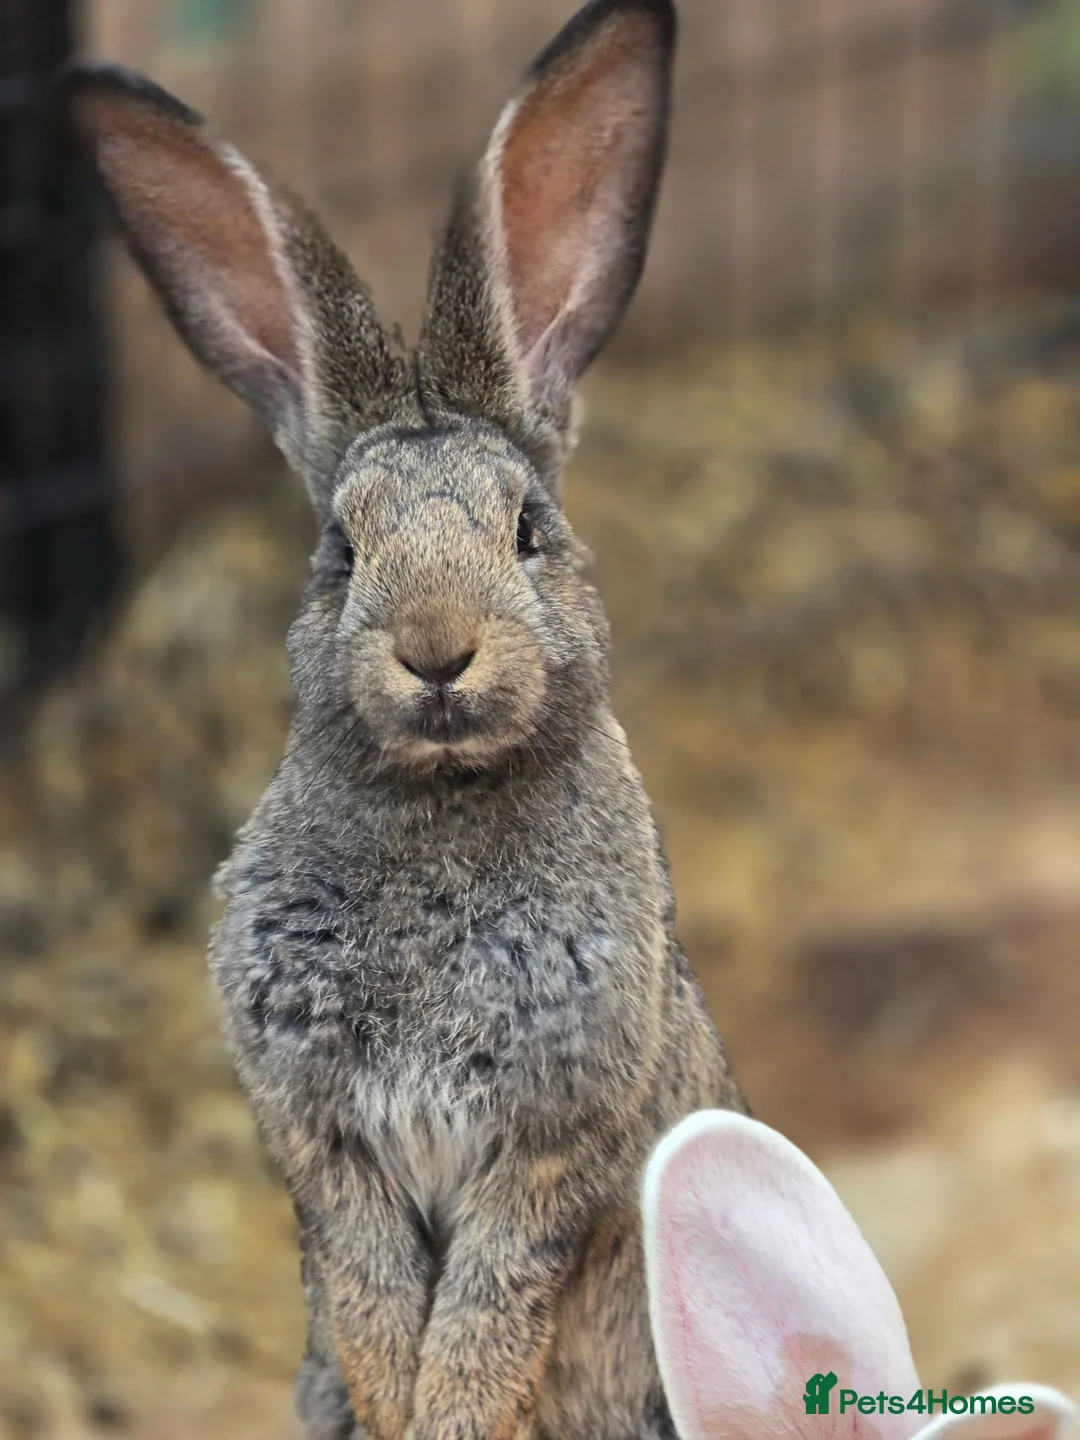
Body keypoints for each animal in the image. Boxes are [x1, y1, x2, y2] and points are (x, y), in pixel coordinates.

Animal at [64, 1, 747, 1437]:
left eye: (530, 530)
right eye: (339, 548)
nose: (436, 649)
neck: (441, 804)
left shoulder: (549, 1141)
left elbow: (485, 1312)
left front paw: (452, 1420)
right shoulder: (325, 1142)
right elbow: (374, 1297)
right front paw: (395, 1417)